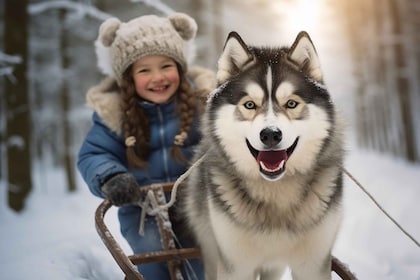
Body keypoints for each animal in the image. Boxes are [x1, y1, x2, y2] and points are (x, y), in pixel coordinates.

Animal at [183, 31, 344, 280]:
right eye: (249, 105)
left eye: (291, 103)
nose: (270, 135)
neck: (276, 194)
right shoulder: (235, 264)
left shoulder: (313, 263)